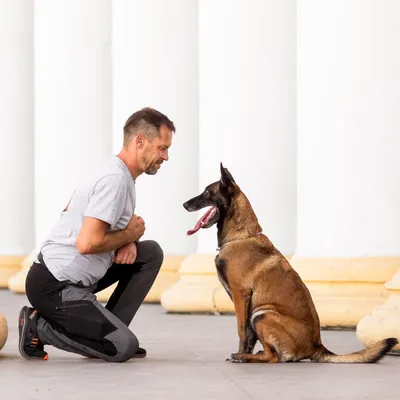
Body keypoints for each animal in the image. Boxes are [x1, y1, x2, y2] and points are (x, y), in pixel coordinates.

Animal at [184, 162, 396, 362]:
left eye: (206, 192)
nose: (184, 204)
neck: (240, 235)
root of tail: (317, 346)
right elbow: (249, 336)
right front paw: (244, 351)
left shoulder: (240, 294)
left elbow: (241, 330)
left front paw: (240, 353)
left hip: (262, 314)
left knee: (273, 357)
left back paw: (246, 357)